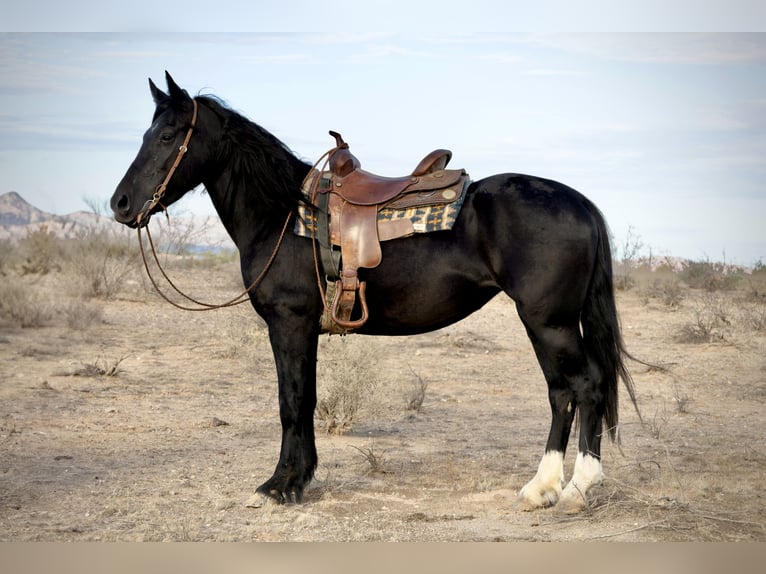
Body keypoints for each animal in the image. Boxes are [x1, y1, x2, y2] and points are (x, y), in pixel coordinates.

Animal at [111, 72, 638, 513]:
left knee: (584, 386)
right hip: (549, 323)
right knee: (562, 391)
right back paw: (543, 488)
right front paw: (300, 478)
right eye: (145, 135)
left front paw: (280, 486)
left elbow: (291, 403)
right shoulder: (305, 330)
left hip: (549, 321)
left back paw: (575, 489)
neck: (282, 215)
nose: (120, 204)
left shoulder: (289, 324)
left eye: (167, 136)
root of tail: (581, 203)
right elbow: (305, 400)